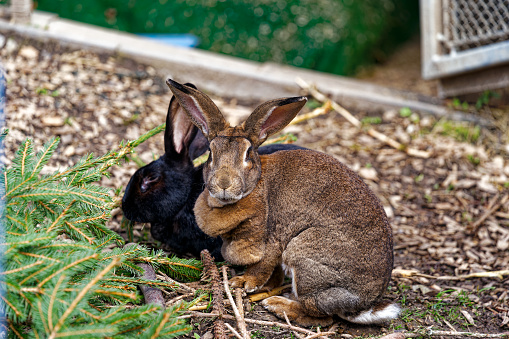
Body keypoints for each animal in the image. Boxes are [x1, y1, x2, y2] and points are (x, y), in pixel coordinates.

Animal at [166, 79, 396, 326]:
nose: (224, 184)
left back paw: (278, 305)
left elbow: (261, 266)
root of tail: (362, 305)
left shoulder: (270, 240)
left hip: (304, 256)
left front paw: (243, 283)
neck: (256, 184)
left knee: (321, 316)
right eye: (210, 153)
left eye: (247, 154)